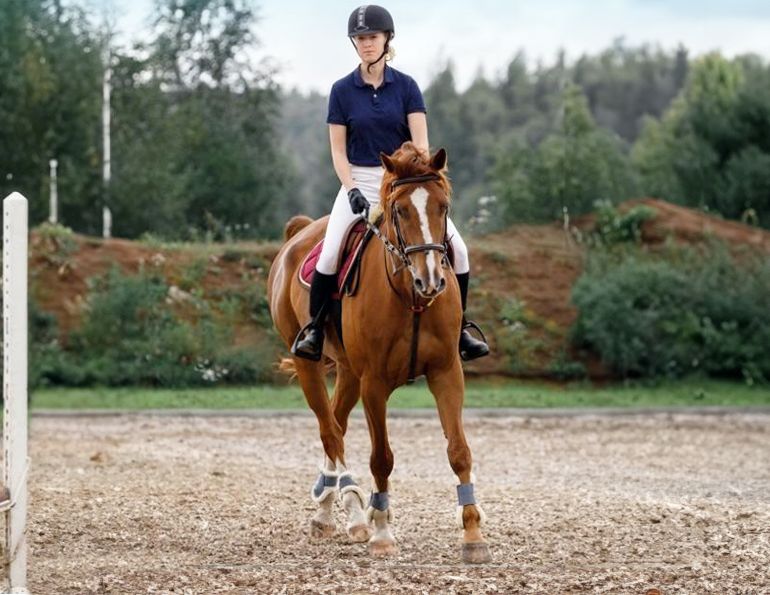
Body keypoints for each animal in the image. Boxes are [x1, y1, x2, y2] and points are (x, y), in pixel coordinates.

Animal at [267, 141, 490, 563]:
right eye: (400, 211)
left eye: (443, 207)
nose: (431, 280)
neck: (410, 298)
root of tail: (300, 231)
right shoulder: (375, 383)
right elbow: (382, 457)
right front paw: (383, 531)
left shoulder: (446, 372)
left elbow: (459, 451)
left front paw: (473, 534)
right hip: (309, 366)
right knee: (330, 431)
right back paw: (354, 511)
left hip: (348, 372)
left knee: (335, 426)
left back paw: (328, 509)